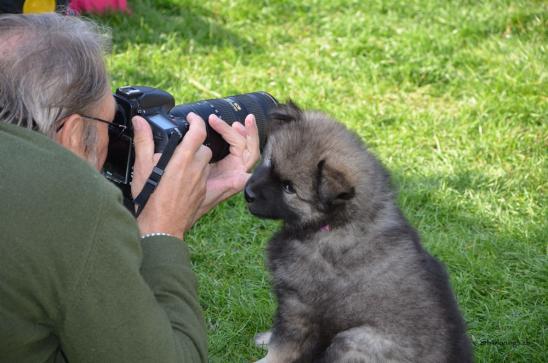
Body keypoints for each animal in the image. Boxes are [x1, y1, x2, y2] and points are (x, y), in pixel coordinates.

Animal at [244, 103, 470, 363]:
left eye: (288, 187)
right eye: (269, 162)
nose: (247, 193)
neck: (334, 223)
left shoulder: (299, 306)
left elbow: (283, 345)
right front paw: (264, 339)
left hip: (355, 339)